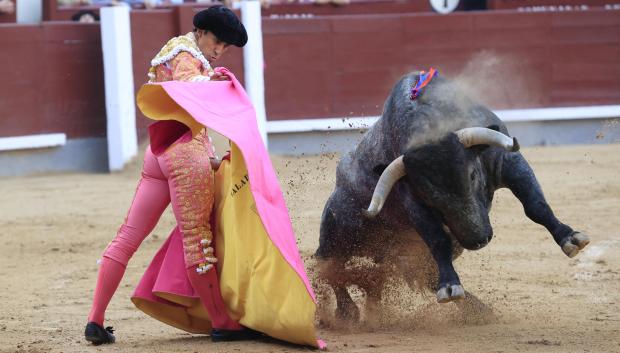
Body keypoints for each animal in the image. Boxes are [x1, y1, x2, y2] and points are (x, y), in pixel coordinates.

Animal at [314, 70, 592, 320]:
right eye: (429, 197)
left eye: (472, 175)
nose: (478, 240)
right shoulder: (412, 199)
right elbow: (438, 239)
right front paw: (450, 286)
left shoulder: (509, 161)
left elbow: (536, 206)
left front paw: (570, 238)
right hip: (335, 234)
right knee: (329, 269)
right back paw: (347, 312)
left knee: (416, 277)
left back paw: (479, 312)